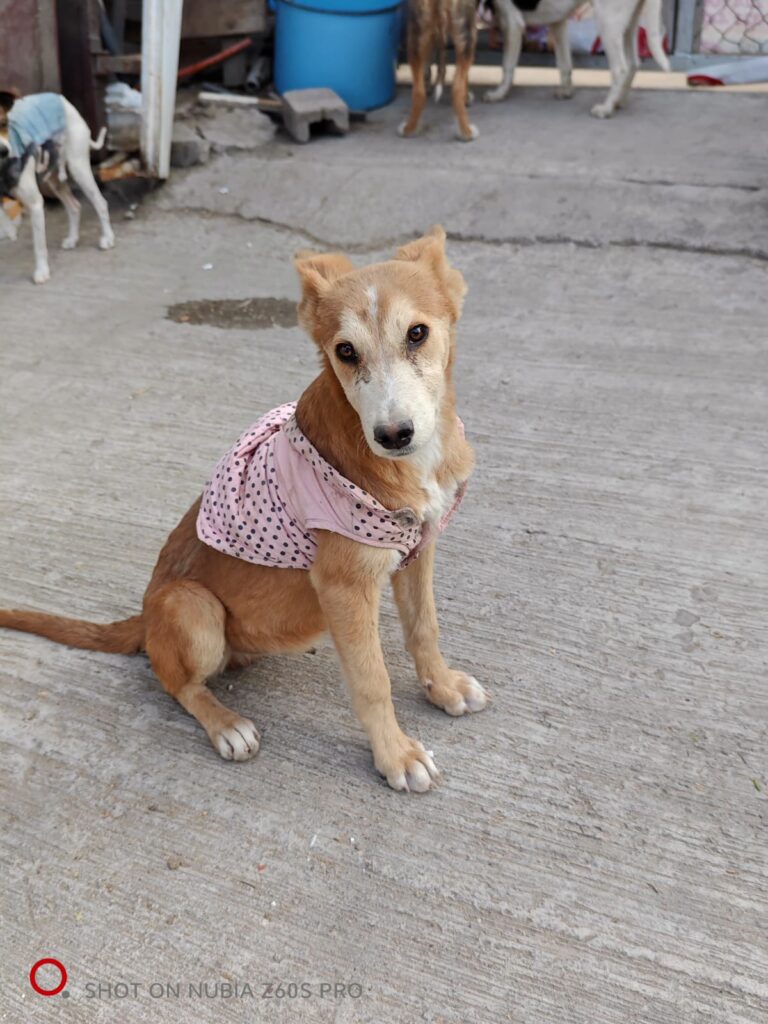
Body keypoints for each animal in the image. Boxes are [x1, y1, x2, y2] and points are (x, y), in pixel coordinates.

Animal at [0, 91, 115, 284]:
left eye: (2, 123)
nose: (4, 151)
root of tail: (60, 98)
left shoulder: (35, 204)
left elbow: (39, 246)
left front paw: (42, 271)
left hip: (78, 168)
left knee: (101, 202)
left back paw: (107, 238)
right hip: (54, 180)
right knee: (74, 206)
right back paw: (73, 239)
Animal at [0, 227, 488, 793]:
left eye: (417, 333)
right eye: (345, 351)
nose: (393, 436)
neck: (416, 465)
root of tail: (143, 617)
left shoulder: (418, 552)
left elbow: (424, 629)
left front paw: (443, 687)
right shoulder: (344, 587)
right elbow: (372, 680)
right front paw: (395, 755)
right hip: (190, 606)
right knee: (174, 682)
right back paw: (226, 724)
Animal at [399, 0, 479, 141]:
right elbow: (465, 79)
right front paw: (467, 98)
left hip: (415, 35)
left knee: (419, 93)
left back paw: (409, 129)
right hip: (468, 33)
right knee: (456, 89)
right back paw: (467, 133)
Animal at [485, 0, 670, 117]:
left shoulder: (512, 23)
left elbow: (507, 66)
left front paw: (499, 94)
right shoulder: (558, 22)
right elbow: (564, 63)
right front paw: (566, 91)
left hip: (607, 22)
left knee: (620, 69)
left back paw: (606, 108)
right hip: (628, 25)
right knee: (633, 64)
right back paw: (618, 101)